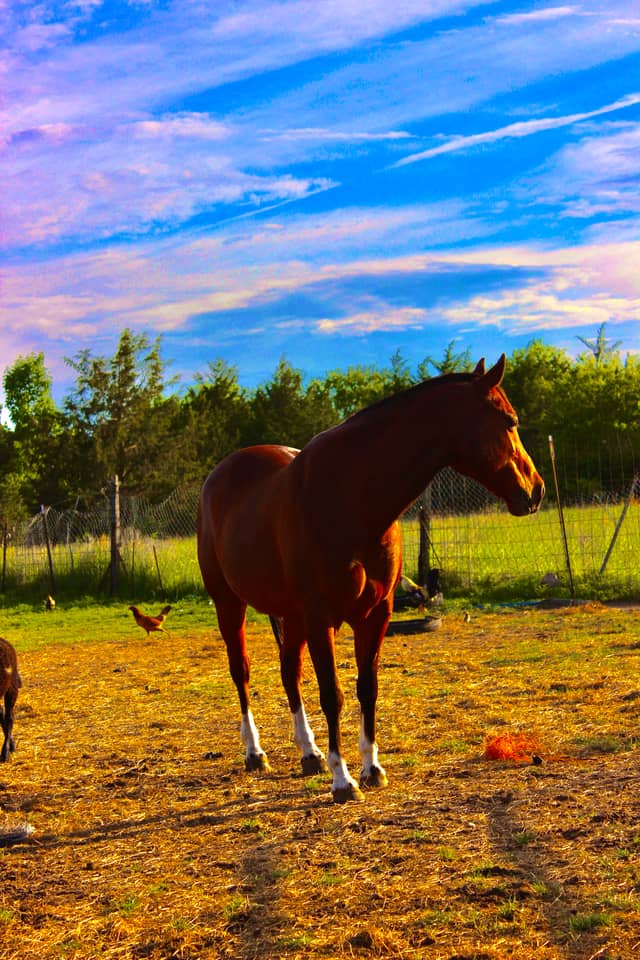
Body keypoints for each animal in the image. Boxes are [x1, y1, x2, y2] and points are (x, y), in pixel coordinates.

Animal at [197, 355, 544, 802]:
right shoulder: (320, 616)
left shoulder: (375, 613)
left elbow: (368, 688)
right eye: (509, 421)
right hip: (230, 604)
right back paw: (255, 753)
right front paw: (342, 780)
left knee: (289, 672)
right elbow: (333, 694)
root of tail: (220, 476)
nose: (535, 491)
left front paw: (371, 768)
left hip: (290, 616)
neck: (350, 498)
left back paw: (308, 754)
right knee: (241, 671)